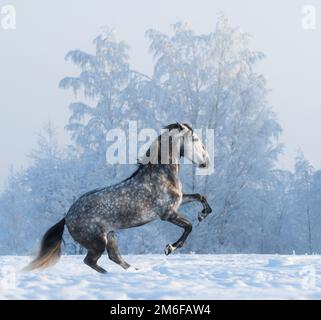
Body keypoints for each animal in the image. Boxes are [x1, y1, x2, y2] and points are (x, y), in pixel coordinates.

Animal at [26, 122, 211, 272]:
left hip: (110, 235)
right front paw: (169, 248)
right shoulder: (168, 214)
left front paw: (202, 215)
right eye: (194, 139)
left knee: (114, 257)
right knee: (91, 261)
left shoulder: (178, 204)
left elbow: (200, 197)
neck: (161, 175)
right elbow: (189, 226)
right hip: (98, 242)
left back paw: (134, 271)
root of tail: (66, 217)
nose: (206, 162)